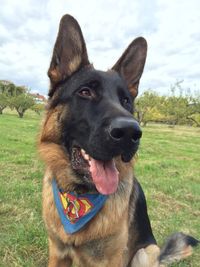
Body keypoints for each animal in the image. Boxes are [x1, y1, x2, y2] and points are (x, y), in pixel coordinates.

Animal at [39, 15, 198, 267]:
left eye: (126, 101)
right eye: (85, 92)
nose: (130, 132)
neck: (80, 195)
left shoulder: (110, 260)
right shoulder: (58, 253)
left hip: (146, 252)